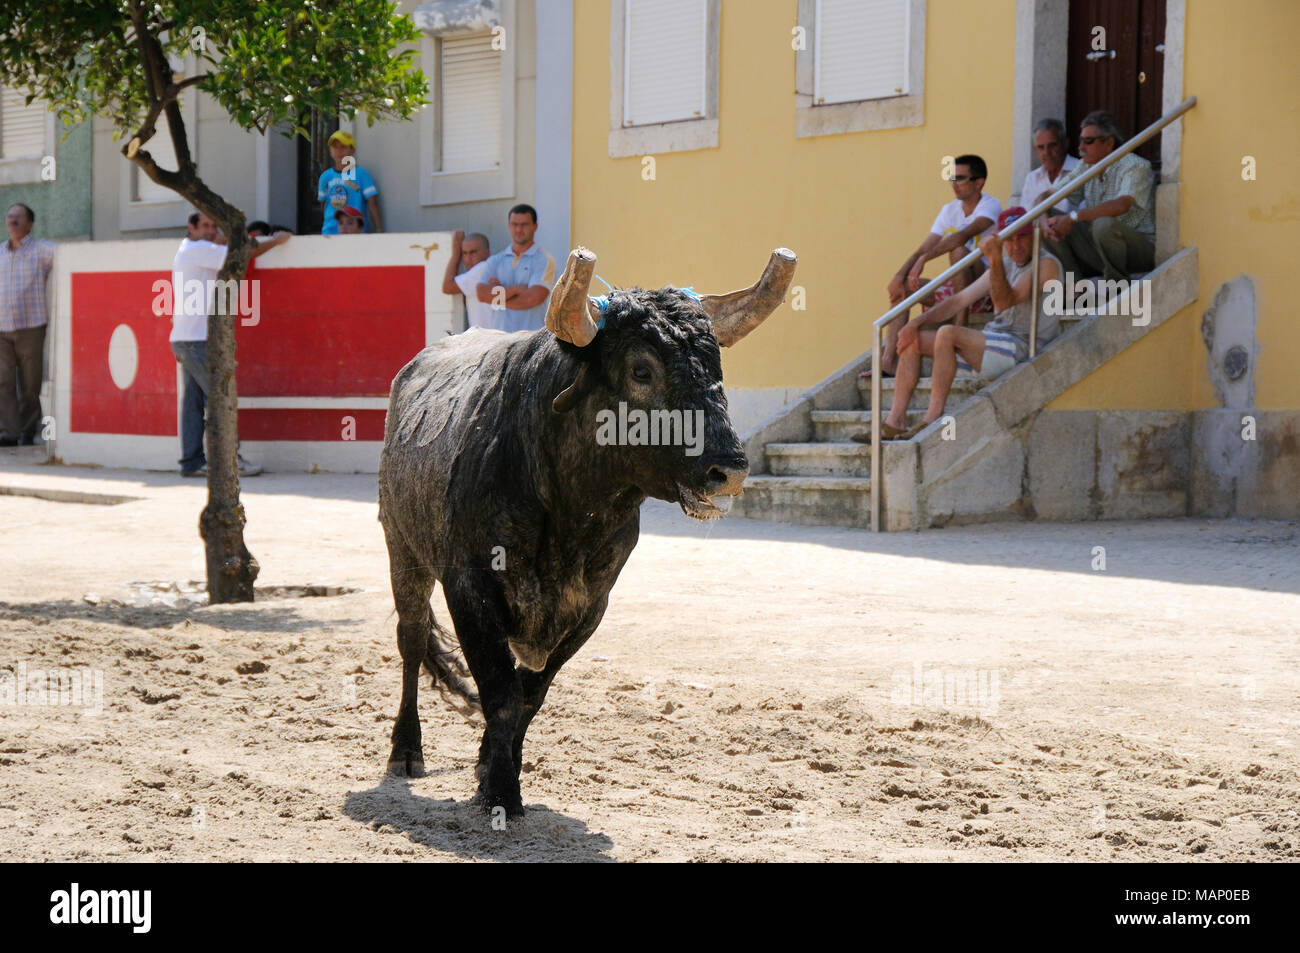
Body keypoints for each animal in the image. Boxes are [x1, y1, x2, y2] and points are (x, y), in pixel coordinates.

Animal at [377, 243, 795, 811]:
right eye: (641, 370)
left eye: (717, 366)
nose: (728, 470)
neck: (568, 509)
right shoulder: (469, 587)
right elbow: (501, 692)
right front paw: (501, 793)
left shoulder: (592, 604)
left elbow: (529, 695)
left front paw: (492, 768)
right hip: (402, 548)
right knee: (413, 640)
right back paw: (405, 751)